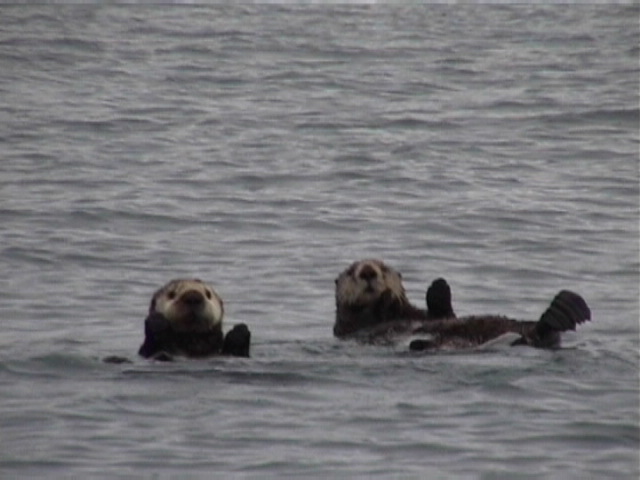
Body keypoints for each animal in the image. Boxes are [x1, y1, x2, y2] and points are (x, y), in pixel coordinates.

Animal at [336, 258, 592, 348]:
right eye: (350, 271)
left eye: (384, 268)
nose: (368, 271)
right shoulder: (352, 327)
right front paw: (386, 299)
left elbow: (444, 313)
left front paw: (438, 286)